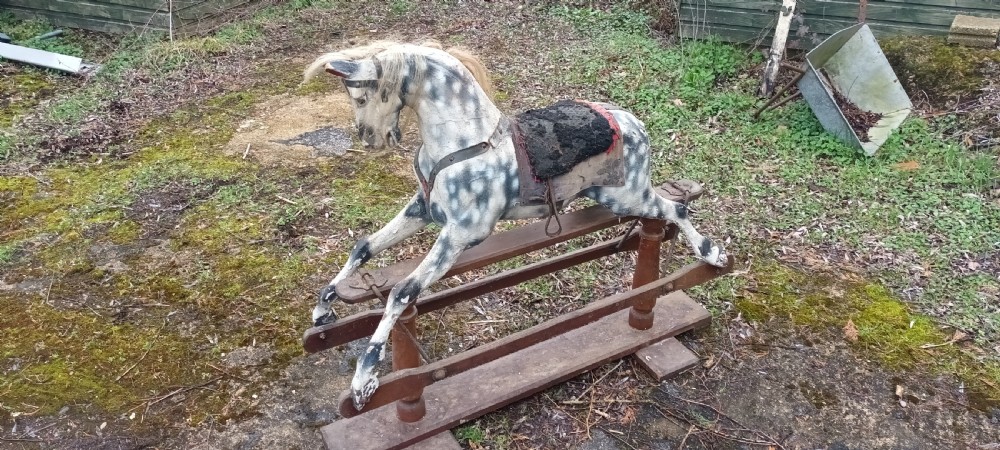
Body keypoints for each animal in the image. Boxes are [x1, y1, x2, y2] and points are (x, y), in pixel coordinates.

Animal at [303, 41, 727, 410]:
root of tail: (637, 123)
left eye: (362, 97)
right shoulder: (422, 209)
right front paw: (322, 311)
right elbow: (363, 246)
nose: (370, 139)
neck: (462, 142)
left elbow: (402, 292)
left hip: (628, 194)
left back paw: (714, 253)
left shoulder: (462, 233)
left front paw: (364, 381)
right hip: (611, 194)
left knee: (677, 209)